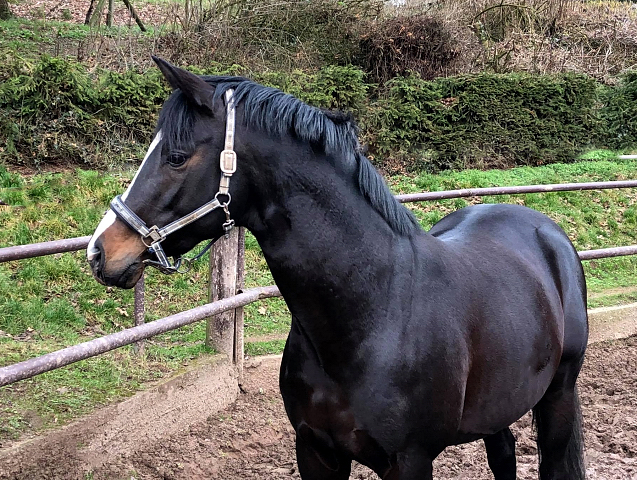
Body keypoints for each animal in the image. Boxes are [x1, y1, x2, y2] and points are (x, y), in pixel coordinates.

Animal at [88, 57, 588, 480]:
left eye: (175, 156)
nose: (100, 252)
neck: (375, 313)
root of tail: (546, 230)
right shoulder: (316, 453)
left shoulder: (409, 463)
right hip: (498, 407)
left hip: (558, 398)